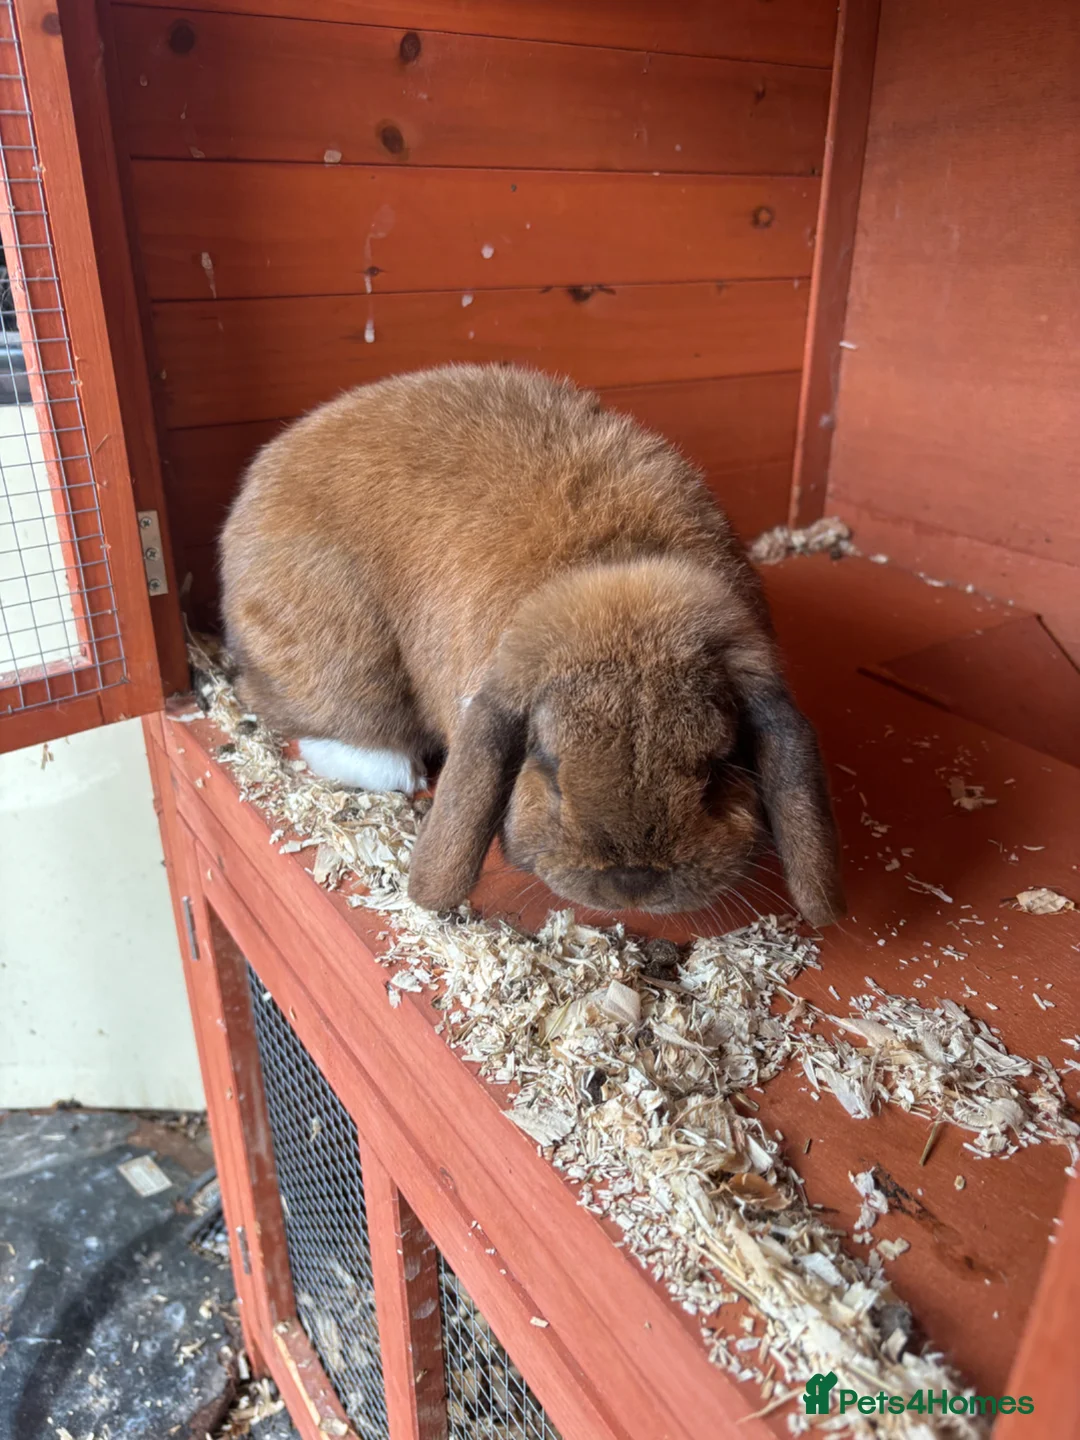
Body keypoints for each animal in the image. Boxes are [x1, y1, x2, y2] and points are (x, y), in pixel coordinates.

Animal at [220, 363, 844, 926]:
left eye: (716, 767)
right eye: (548, 762)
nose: (633, 881)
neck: (620, 576)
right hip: (340, 657)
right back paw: (395, 770)